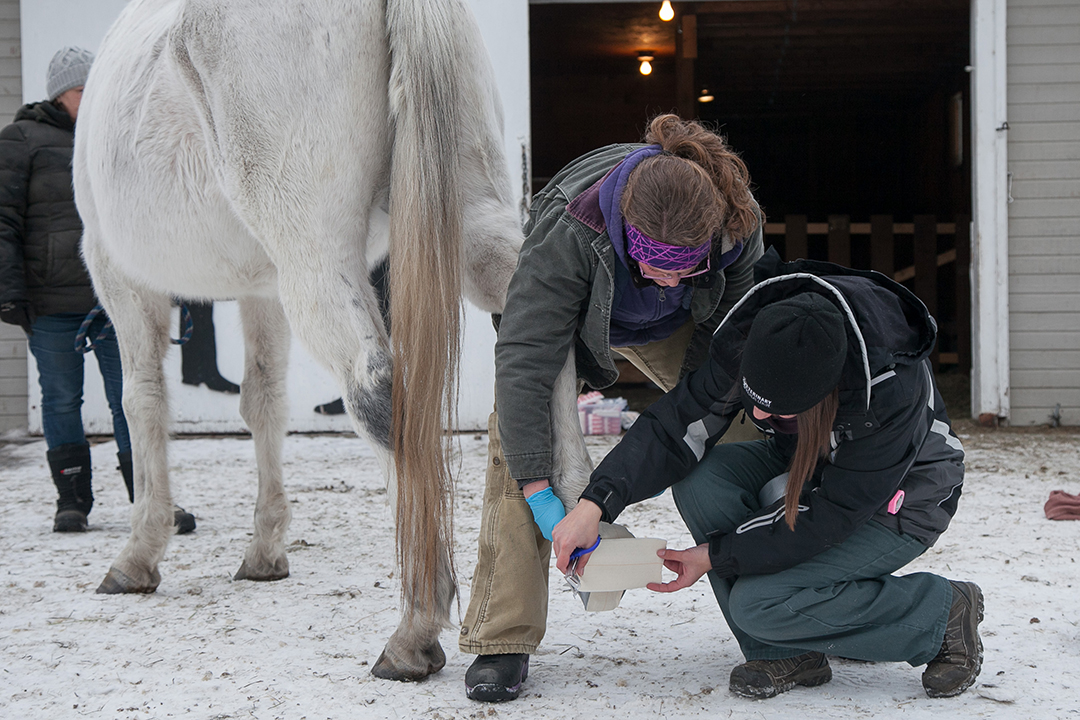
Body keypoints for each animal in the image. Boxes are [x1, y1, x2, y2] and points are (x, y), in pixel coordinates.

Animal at [75, 0, 591, 682]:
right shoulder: (261, 291)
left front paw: (139, 552)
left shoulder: (118, 274)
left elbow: (142, 404)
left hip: (314, 260)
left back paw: (416, 626)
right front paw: (266, 549)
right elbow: (262, 401)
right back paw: (575, 515)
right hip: (471, 210)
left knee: (379, 391)